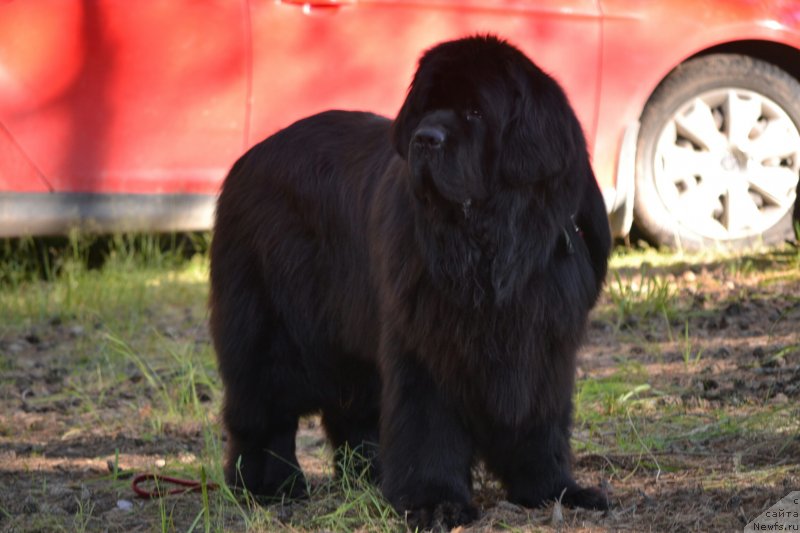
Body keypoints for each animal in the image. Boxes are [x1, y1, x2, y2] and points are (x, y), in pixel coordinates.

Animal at [209, 34, 608, 528]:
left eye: (475, 112)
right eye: (425, 110)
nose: (425, 139)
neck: (489, 247)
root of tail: (246, 160)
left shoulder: (540, 347)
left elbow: (539, 424)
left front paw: (555, 490)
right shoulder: (427, 343)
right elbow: (427, 426)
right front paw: (433, 502)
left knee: (353, 409)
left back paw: (369, 474)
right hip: (268, 329)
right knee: (264, 411)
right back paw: (268, 485)